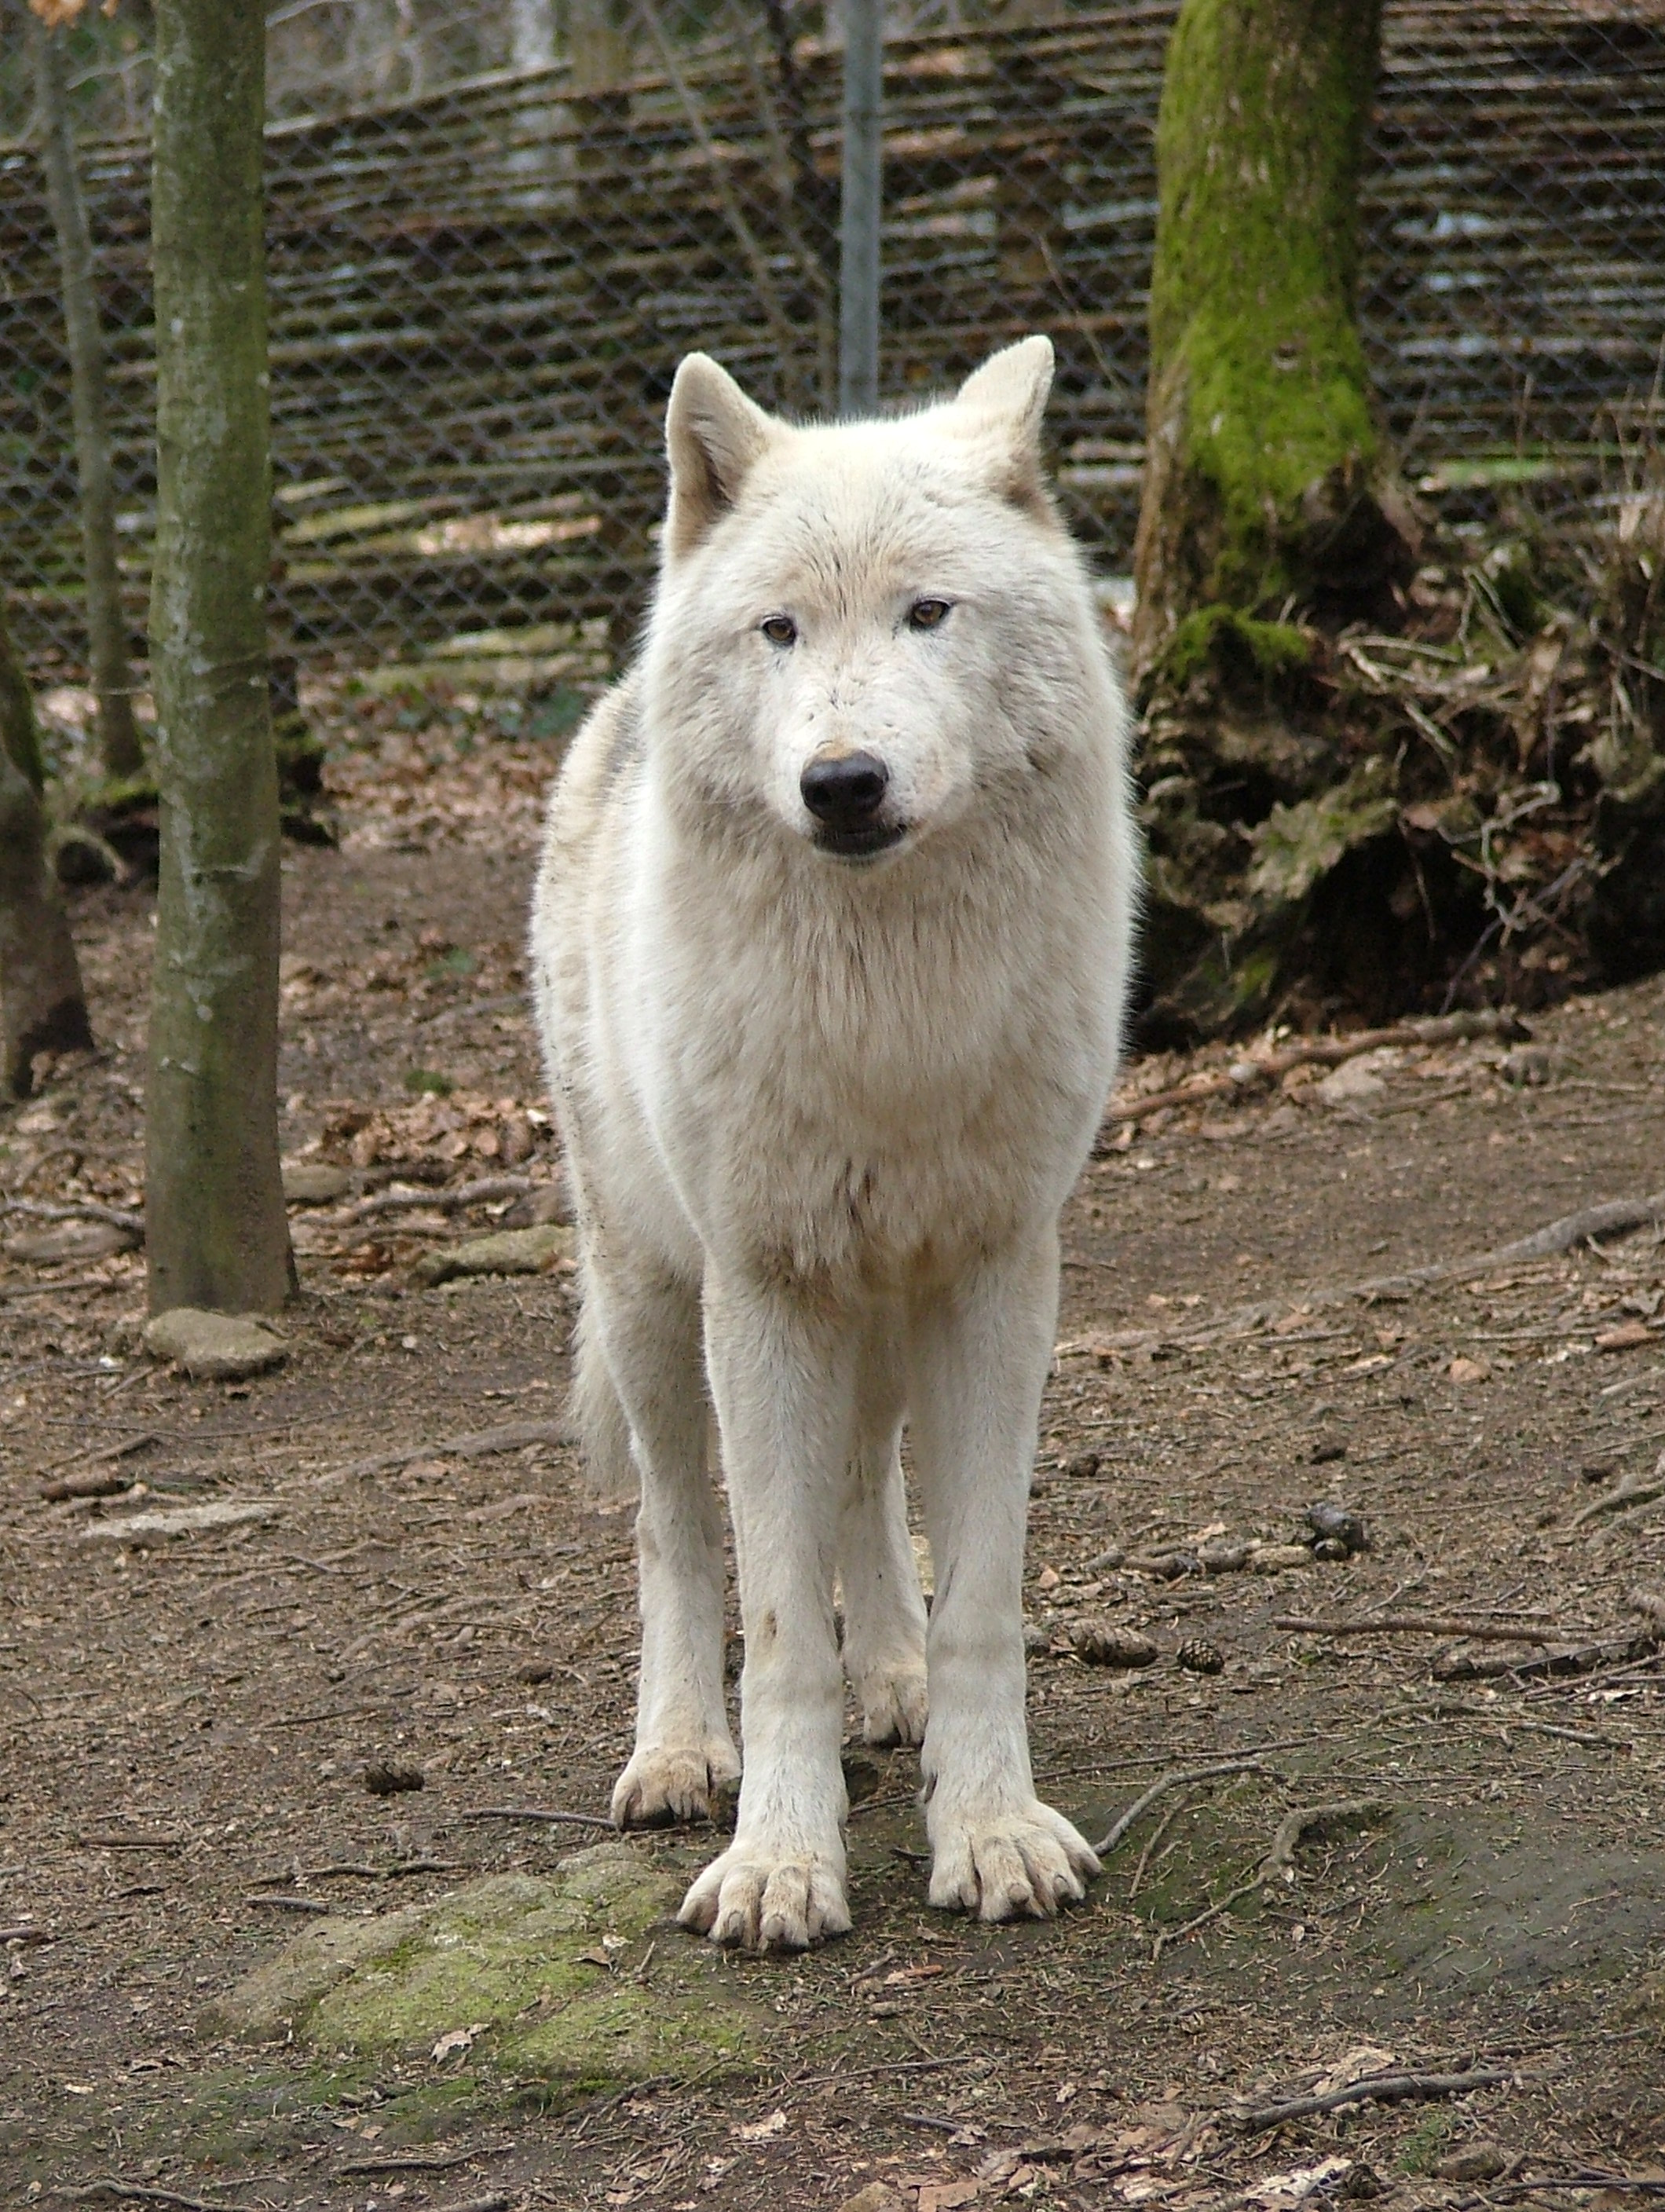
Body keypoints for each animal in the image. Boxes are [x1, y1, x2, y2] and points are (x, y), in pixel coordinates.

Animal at [532, 331, 1140, 1955]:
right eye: (781, 632)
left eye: (927, 611)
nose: (843, 782)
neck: (888, 1015)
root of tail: (611, 701)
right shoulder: (767, 1287)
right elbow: (776, 1617)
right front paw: (778, 1864)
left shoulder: (998, 1276)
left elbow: (980, 1596)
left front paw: (988, 1829)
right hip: (653, 1304)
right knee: (678, 1534)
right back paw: (683, 1749)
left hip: (880, 1306)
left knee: (867, 1490)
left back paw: (898, 1682)